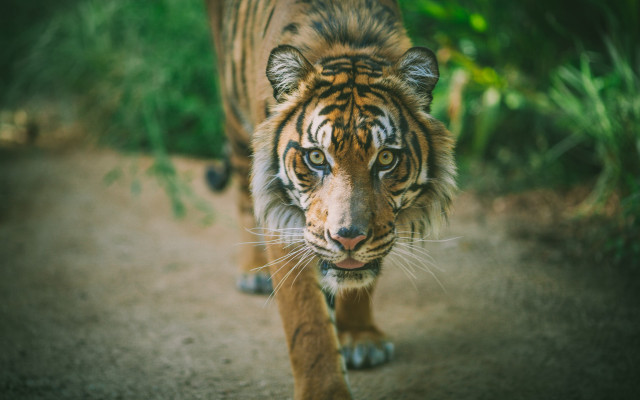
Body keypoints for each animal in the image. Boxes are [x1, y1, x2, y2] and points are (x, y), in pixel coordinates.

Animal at [205, 0, 456, 398]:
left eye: (386, 158)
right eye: (316, 157)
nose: (348, 238)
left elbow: (359, 278)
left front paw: (360, 338)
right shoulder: (288, 226)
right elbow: (308, 323)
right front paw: (325, 389)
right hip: (233, 113)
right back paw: (253, 271)